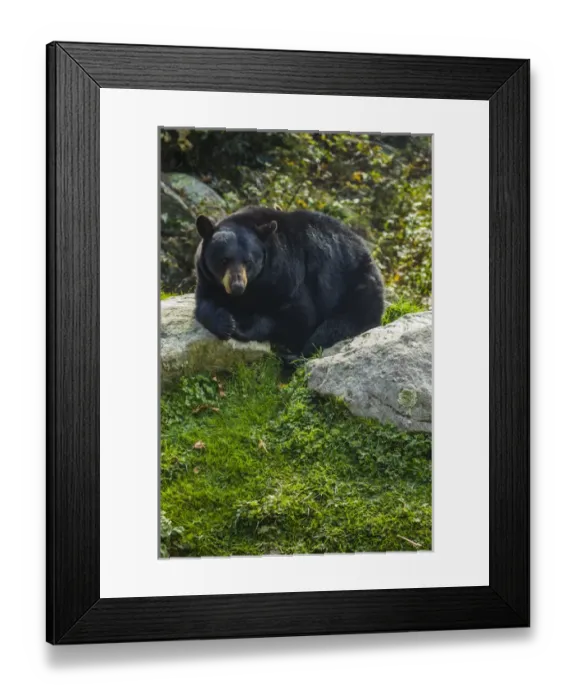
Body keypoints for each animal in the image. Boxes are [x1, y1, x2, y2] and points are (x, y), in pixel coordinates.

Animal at [194, 206, 384, 360]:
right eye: (224, 260)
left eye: (248, 262)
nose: (237, 287)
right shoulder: (207, 278)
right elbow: (204, 302)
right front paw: (225, 322)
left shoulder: (289, 276)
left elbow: (299, 317)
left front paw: (242, 327)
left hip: (357, 291)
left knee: (333, 328)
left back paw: (294, 356)